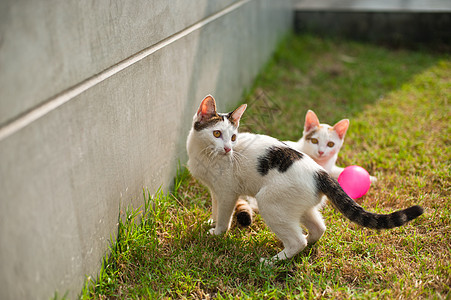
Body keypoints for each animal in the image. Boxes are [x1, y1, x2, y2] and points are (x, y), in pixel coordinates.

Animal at [186, 95, 424, 264]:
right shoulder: (215, 190)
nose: (228, 148)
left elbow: (224, 216)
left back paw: (273, 261)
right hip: (300, 207)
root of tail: (320, 172)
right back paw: (308, 242)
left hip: (269, 202)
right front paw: (211, 222)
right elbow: (215, 208)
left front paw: (218, 233)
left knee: (296, 240)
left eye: (233, 137)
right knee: (319, 227)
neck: (204, 155)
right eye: (217, 134)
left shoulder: (228, 192)